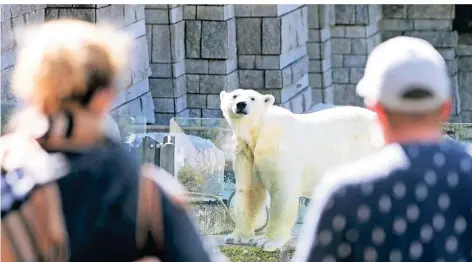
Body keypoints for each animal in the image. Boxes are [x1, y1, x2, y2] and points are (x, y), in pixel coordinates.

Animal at [219, 88, 386, 252]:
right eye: (235, 96)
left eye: (252, 98)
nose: (241, 104)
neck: (259, 131)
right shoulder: (246, 153)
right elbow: (249, 191)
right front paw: (236, 237)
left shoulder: (277, 147)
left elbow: (281, 192)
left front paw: (267, 241)